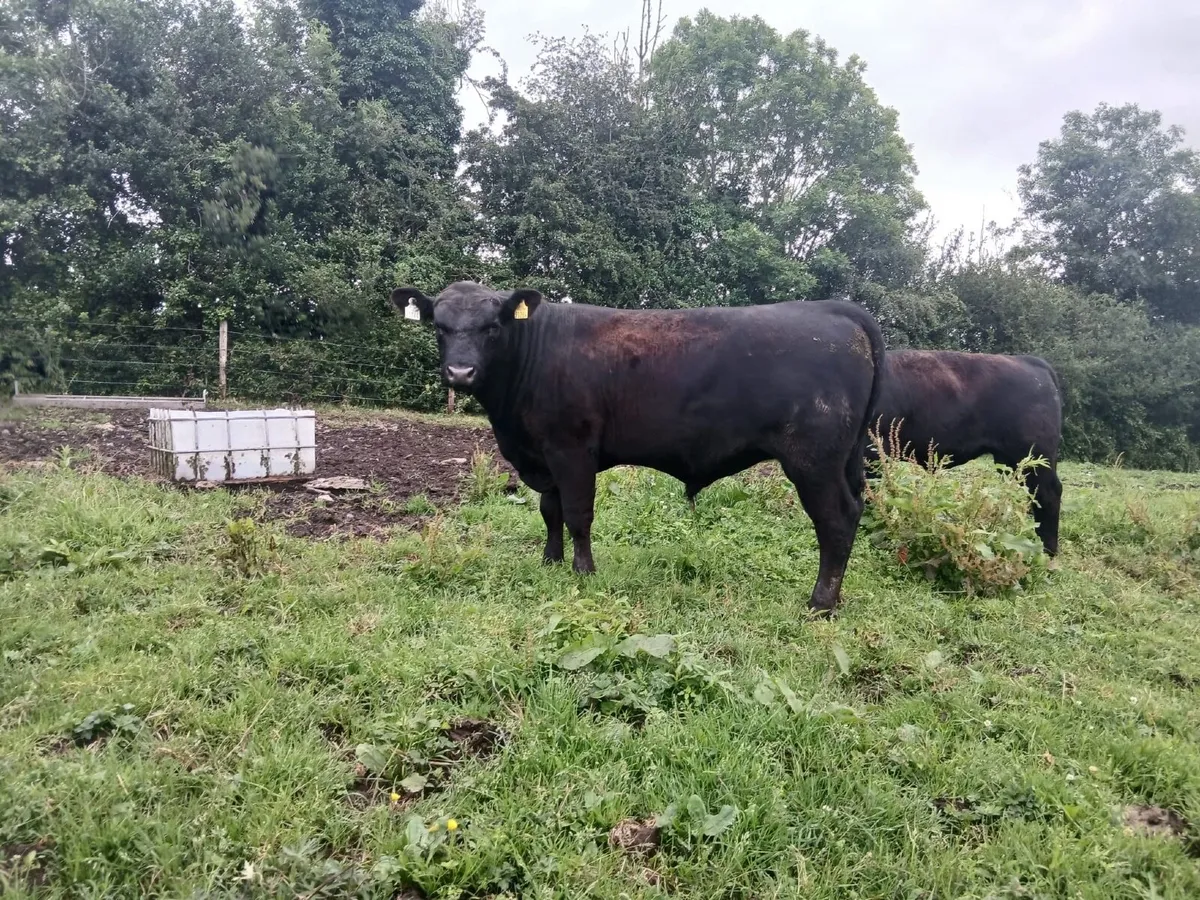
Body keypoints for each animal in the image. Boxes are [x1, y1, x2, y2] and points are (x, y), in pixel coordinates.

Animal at [390, 280, 887, 615]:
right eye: (440, 327)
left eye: (492, 327)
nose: (460, 373)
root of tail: (836, 308)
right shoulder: (542, 456)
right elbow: (550, 512)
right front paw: (549, 561)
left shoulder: (572, 450)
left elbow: (577, 514)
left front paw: (583, 571)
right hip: (845, 460)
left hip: (813, 461)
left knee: (836, 521)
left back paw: (820, 602)